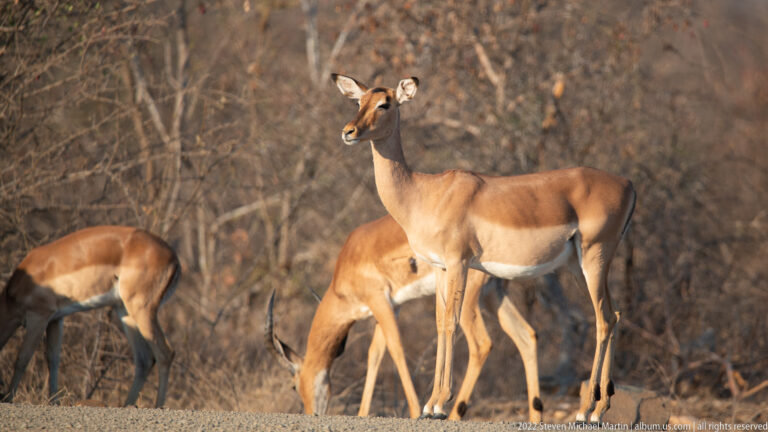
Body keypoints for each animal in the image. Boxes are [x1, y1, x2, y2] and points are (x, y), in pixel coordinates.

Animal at [0, 226, 180, 407]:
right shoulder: (55, 320)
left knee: (165, 353)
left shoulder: (38, 316)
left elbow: (22, 358)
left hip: (141, 309)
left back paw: (158, 406)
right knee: (144, 359)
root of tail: (174, 258)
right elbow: (53, 360)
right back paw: (127, 405)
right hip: (125, 312)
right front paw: (54, 401)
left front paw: (8, 399)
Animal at [266, 214, 541, 421]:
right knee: (526, 335)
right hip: (493, 295)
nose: (311, 413)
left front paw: (414, 410)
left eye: (293, 385)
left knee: (482, 344)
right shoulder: (391, 306)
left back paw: (448, 413)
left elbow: (396, 349)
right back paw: (535, 417)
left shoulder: (380, 302)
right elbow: (375, 354)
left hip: (470, 299)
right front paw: (363, 414)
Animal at [331, 73, 636, 422]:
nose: (348, 132)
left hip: (594, 258)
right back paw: (600, 406)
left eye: (385, 103)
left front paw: (439, 404)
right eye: (359, 101)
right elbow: (440, 324)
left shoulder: (459, 262)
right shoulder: (440, 268)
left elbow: (452, 323)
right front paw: (430, 404)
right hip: (579, 266)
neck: (424, 192)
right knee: (614, 314)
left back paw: (587, 411)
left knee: (603, 319)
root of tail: (628, 184)